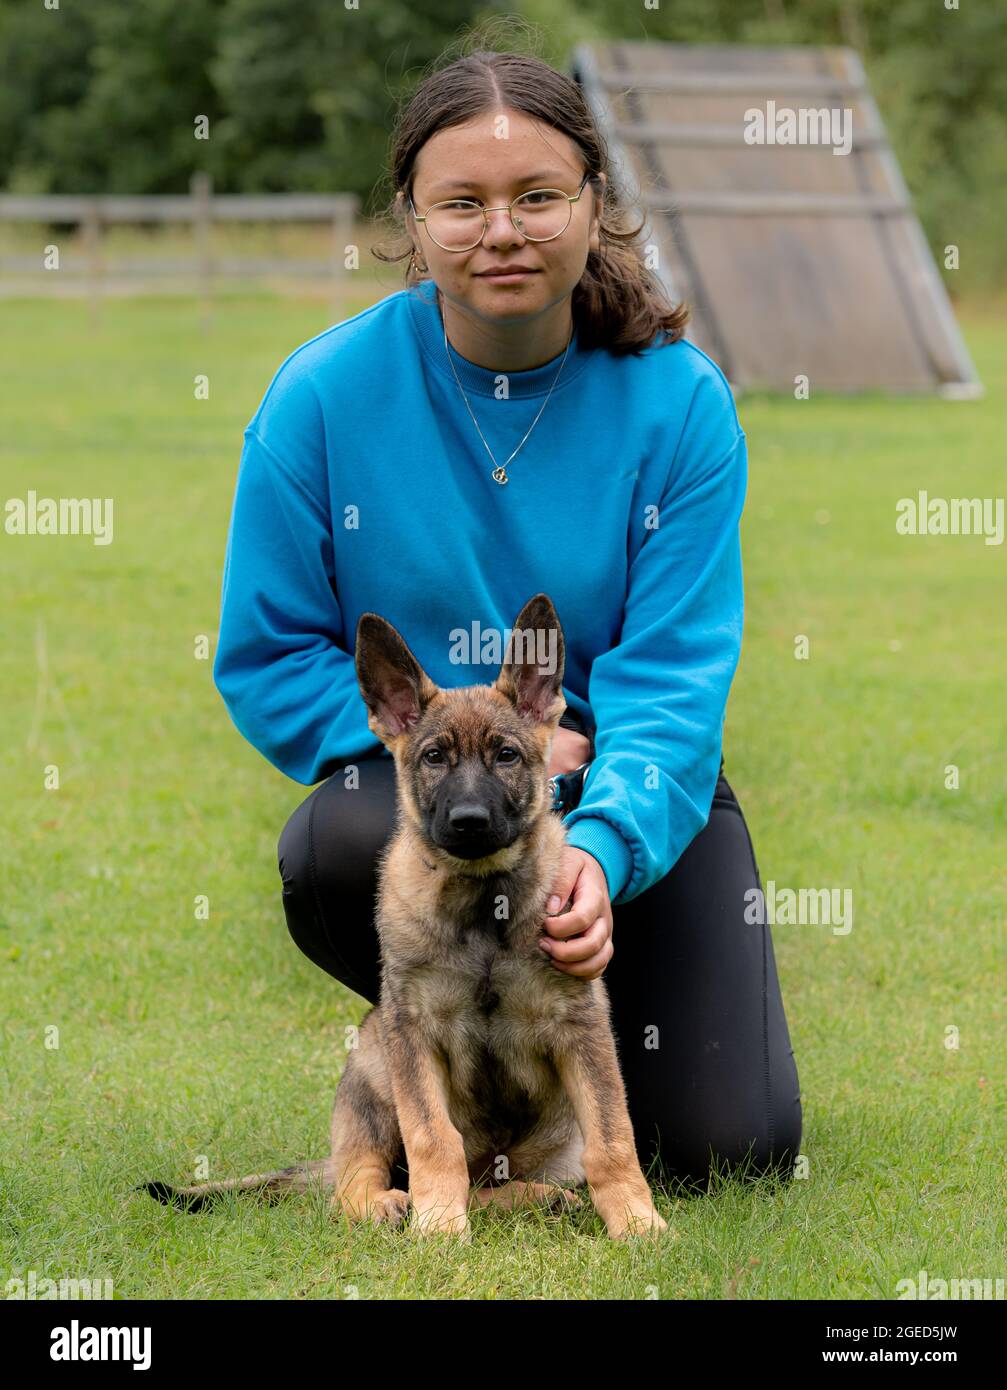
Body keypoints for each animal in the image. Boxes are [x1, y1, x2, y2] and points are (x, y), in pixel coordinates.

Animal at [147, 592, 667, 1245]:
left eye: (506, 755)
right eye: (434, 757)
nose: (469, 821)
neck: (485, 906)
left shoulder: (582, 1028)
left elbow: (613, 1137)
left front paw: (638, 1221)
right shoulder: (413, 1033)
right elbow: (432, 1138)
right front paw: (439, 1226)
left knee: (491, 1184)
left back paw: (535, 1197)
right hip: (372, 1069)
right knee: (355, 1182)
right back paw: (389, 1204)